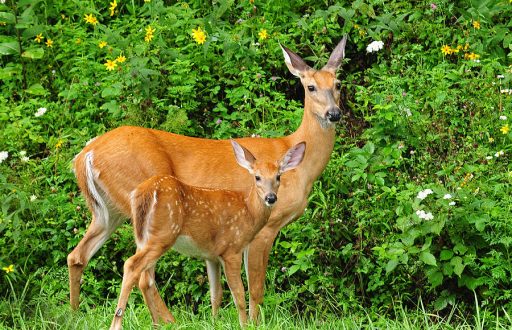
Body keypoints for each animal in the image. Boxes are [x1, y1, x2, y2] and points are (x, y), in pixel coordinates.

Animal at [109, 141, 304, 328]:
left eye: (278, 176)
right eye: (257, 177)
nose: (271, 198)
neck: (248, 211)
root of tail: (144, 193)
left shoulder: (211, 256)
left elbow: (215, 294)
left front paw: (214, 322)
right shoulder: (231, 249)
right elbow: (239, 294)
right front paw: (244, 325)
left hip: (143, 237)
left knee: (145, 279)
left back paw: (156, 324)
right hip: (163, 234)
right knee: (131, 265)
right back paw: (117, 324)